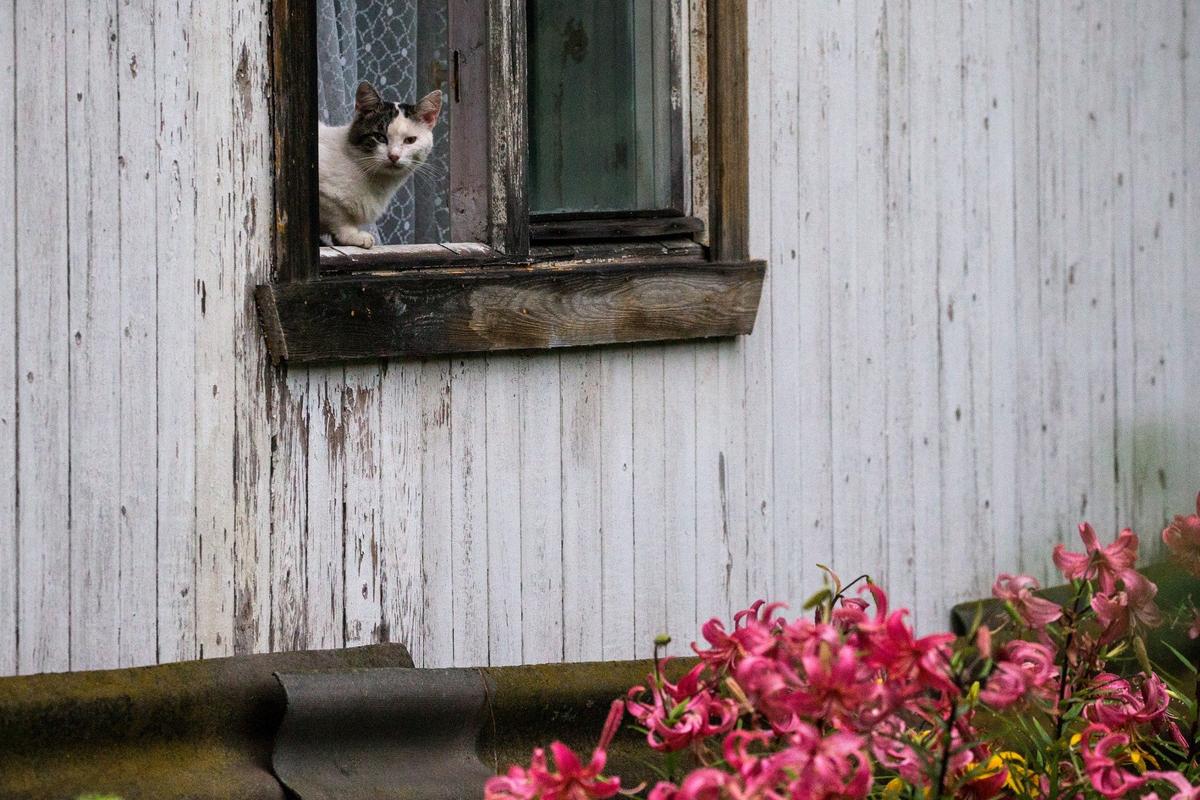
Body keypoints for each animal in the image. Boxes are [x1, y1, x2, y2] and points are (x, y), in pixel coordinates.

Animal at [316, 82, 444, 247]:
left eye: (410, 140)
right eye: (379, 137)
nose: (394, 156)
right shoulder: (325, 196)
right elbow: (339, 217)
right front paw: (352, 235)